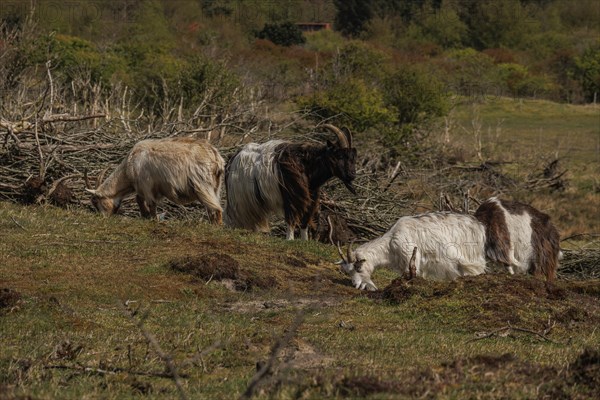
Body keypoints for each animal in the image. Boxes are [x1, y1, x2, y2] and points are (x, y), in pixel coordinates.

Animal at [85, 134, 224, 222]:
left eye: (96, 201)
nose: (104, 218)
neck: (131, 162)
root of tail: (216, 156)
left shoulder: (146, 184)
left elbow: (149, 202)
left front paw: (152, 218)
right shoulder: (153, 188)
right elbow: (139, 199)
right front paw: (145, 215)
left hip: (202, 184)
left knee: (216, 209)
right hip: (216, 186)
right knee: (212, 209)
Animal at [225, 123, 356, 239]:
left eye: (352, 157)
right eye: (339, 156)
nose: (352, 175)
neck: (306, 165)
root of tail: (232, 159)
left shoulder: (309, 198)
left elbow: (304, 221)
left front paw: (304, 241)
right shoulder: (291, 196)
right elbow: (291, 218)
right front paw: (290, 239)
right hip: (238, 199)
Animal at [336, 212, 490, 290]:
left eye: (358, 267)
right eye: (347, 271)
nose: (355, 285)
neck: (390, 243)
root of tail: (479, 226)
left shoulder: (410, 257)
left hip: (471, 258)